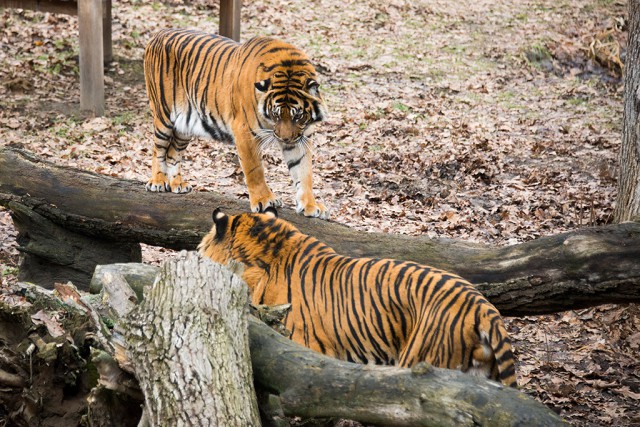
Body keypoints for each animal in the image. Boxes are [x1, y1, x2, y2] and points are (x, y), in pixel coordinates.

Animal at [143, 29, 328, 218]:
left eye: (297, 116)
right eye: (276, 115)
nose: (285, 140)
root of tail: (161, 33)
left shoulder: (300, 138)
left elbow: (304, 172)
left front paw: (310, 206)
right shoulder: (244, 131)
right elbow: (255, 170)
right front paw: (264, 201)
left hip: (184, 127)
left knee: (173, 153)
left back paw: (177, 184)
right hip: (163, 116)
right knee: (158, 149)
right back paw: (158, 181)